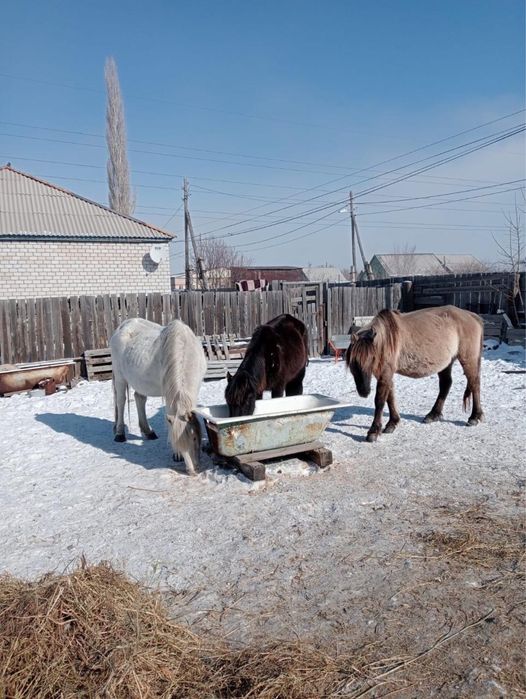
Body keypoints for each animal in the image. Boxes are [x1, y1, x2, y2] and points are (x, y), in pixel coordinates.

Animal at [110, 317, 207, 475]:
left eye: (194, 438)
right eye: (177, 442)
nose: (192, 471)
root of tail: (122, 326)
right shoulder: (169, 393)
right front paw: (177, 455)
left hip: (139, 381)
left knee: (139, 399)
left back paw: (148, 432)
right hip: (119, 377)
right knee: (121, 402)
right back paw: (119, 435)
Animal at [345, 306, 484, 442]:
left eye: (372, 359)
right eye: (353, 363)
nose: (364, 391)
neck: (386, 339)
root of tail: (473, 316)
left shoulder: (385, 373)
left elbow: (380, 401)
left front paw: (373, 431)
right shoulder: (384, 374)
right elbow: (390, 397)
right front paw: (392, 423)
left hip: (468, 359)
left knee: (474, 383)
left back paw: (474, 417)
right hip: (446, 363)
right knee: (446, 384)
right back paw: (433, 415)